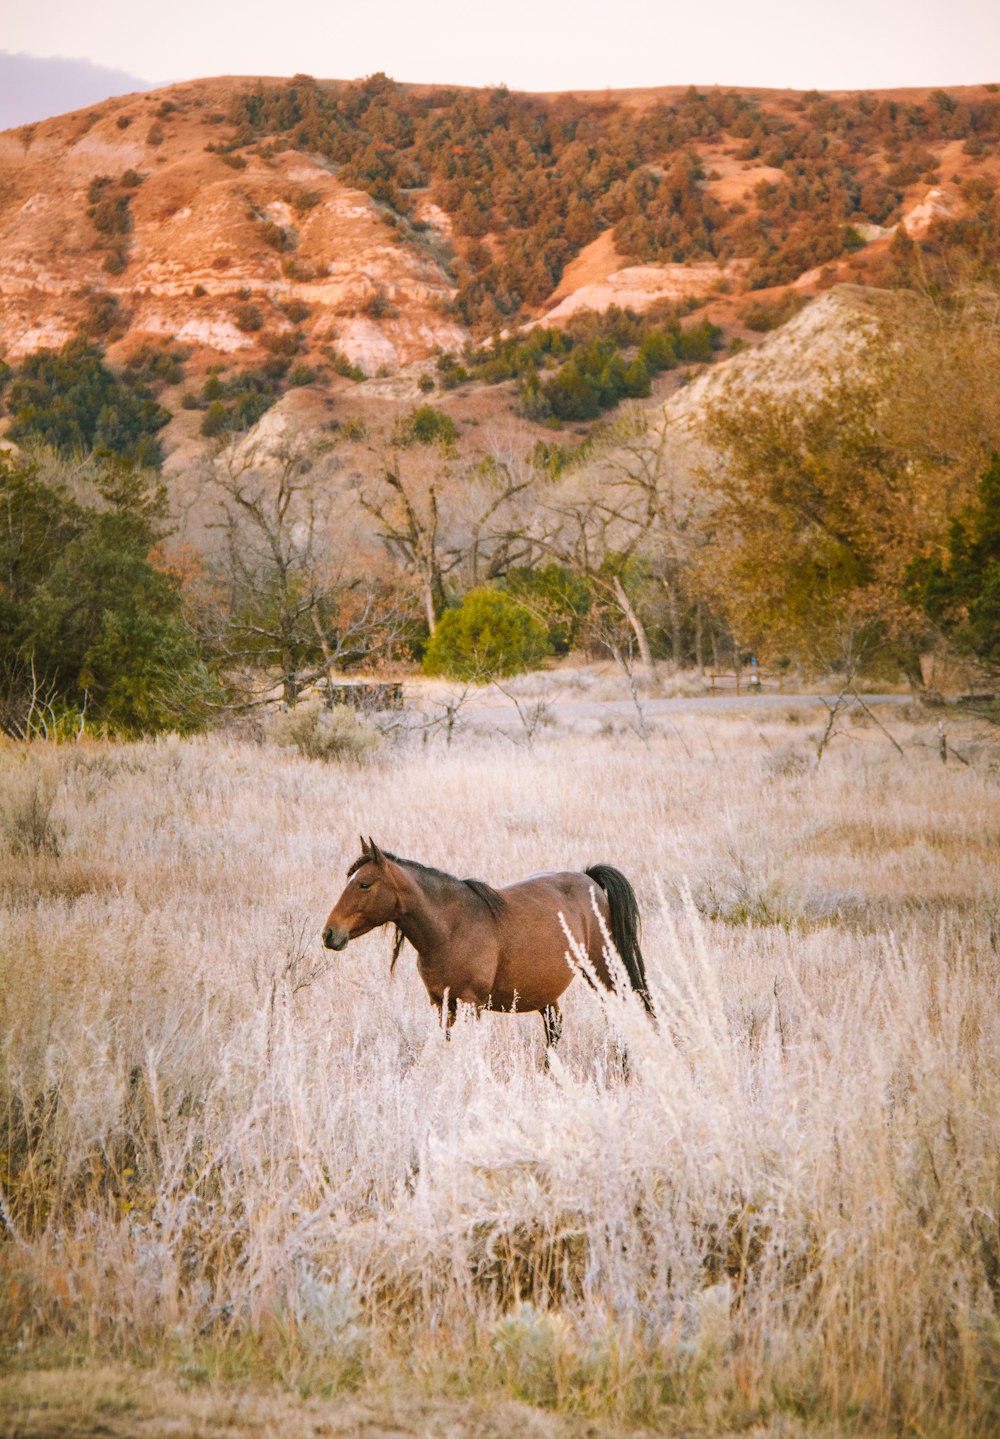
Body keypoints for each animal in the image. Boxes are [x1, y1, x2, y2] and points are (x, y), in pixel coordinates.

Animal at [320, 834, 653, 1047]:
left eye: (364, 884)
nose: (329, 933)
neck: (450, 929)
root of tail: (590, 880)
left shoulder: (471, 1003)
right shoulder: (442, 1005)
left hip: (604, 974)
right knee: (554, 1029)